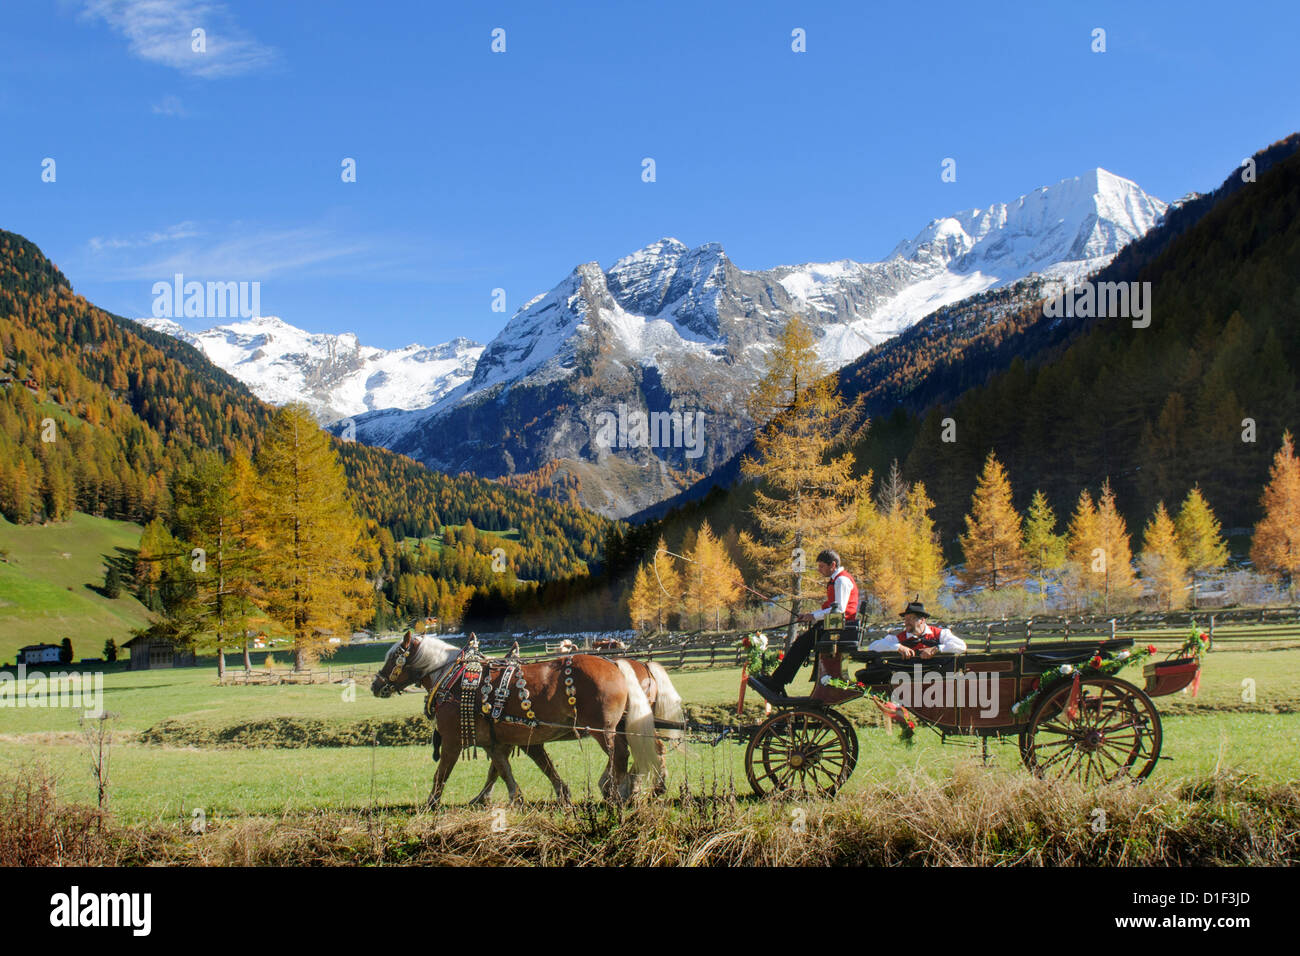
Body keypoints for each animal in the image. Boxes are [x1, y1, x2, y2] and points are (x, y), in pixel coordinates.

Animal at [374, 634, 660, 806]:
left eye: (394, 656)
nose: (376, 685)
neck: (454, 678)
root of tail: (615, 665)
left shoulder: (453, 741)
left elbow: (442, 773)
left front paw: (431, 803)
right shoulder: (500, 739)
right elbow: (504, 769)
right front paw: (514, 796)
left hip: (603, 728)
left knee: (620, 754)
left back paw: (616, 790)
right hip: (616, 726)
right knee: (642, 749)